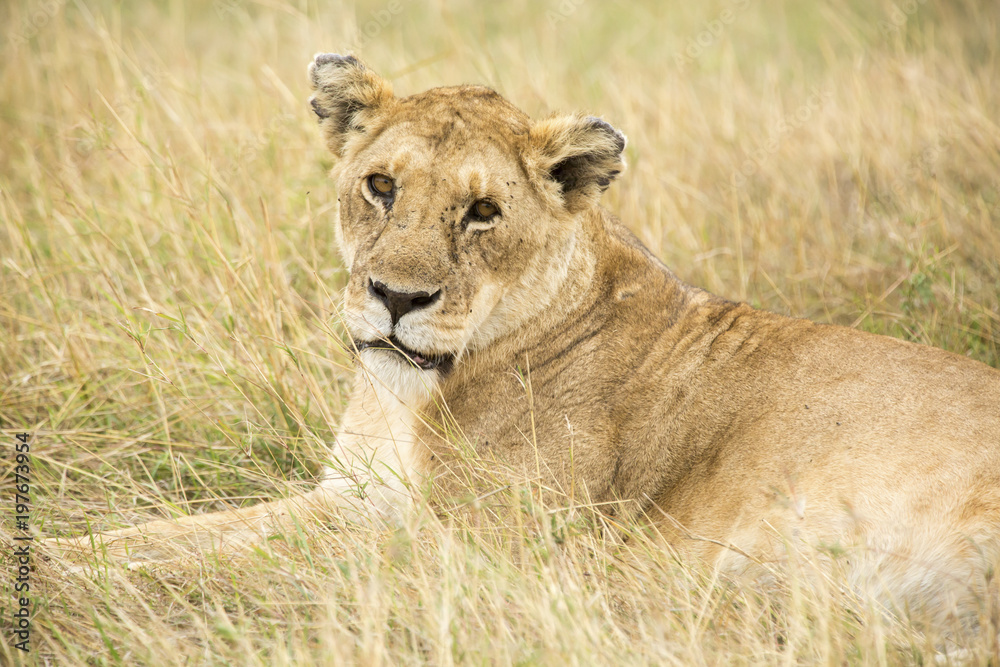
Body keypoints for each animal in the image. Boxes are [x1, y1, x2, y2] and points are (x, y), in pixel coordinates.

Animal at [47, 53, 1000, 631]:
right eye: (380, 186)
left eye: (482, 212)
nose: (397, 298)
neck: (409, 399)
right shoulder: (354, 496)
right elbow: (170, 533)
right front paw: (55, 554)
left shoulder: (477, 549)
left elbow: (241, 564)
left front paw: (79, 593)